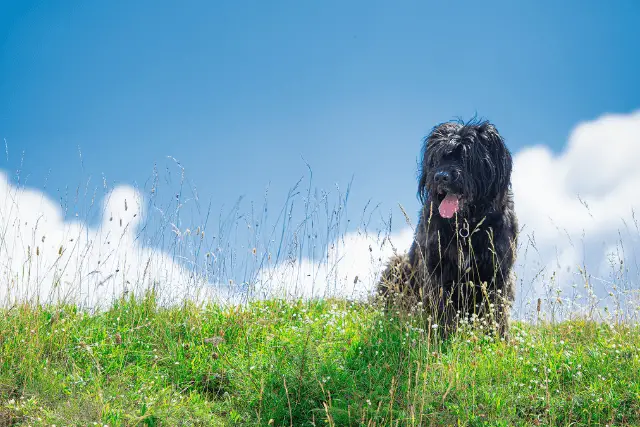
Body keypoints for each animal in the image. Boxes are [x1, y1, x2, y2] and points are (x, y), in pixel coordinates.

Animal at [378, 118, 516, 340]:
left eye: (467, 156)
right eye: (438, 157)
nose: (441, 177)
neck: (466, 225)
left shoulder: (497, 274)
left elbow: (496, 312)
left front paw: (498, 339)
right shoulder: (437, 271)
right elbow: (442, 309)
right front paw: (442, 337)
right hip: (396, 266)